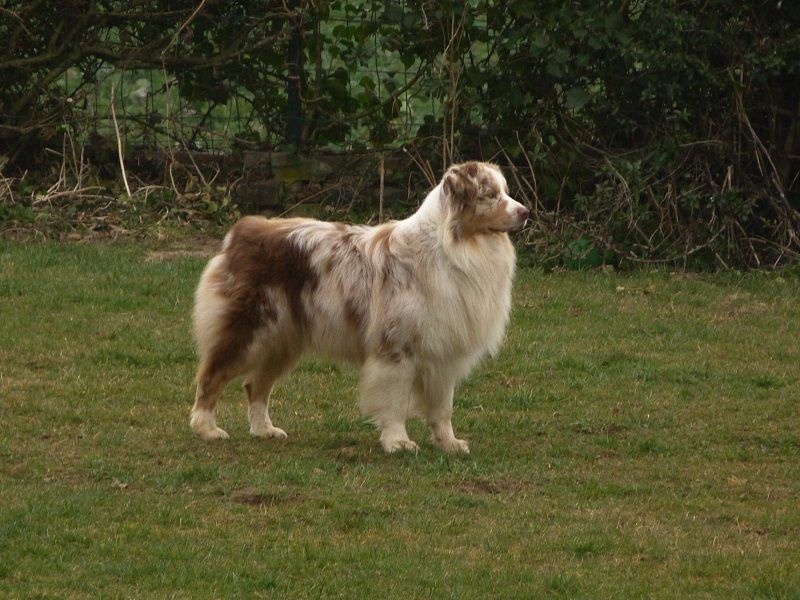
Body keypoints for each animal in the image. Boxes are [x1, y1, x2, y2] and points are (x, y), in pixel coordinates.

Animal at [190, 162, 528, 452]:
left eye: (505, 190)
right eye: (490, 195)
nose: (526, 212)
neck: (450, 248)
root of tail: (244, 230)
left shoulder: (443, 351)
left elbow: (442, 407)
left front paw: (449, 443)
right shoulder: (396, 348)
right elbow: (395, 402)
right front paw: (398, 442)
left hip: (283, 339)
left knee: (255, 385)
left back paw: (264, 430)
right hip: (247, 331)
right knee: (212, 375)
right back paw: (207, 429)